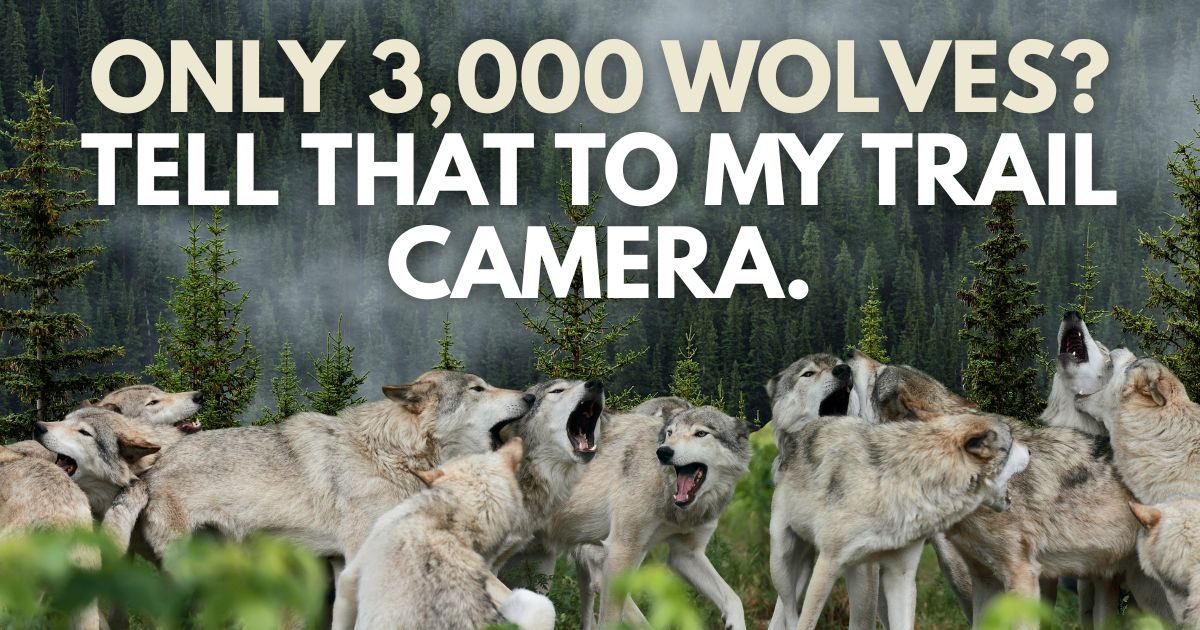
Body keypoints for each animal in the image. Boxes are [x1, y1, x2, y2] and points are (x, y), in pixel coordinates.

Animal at [549, 404, 752, 630]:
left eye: (701, 433)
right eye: (670, 433)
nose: (663, 451)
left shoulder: (686, 555)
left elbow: (734, 599)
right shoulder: (619, 552)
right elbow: (614, 620)